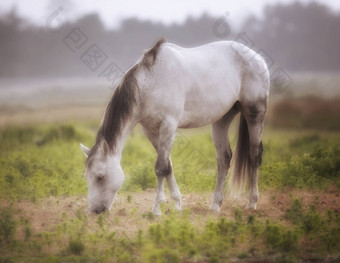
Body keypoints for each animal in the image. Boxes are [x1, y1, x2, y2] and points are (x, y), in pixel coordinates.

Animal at [79, 39, 268, 217]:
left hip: (255, 114)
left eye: (100, 177)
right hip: (221, 120)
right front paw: (177, 205)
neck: (151, 82)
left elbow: (161, 167)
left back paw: (252, 203)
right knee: (224, 159)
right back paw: (215, 205)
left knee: (254, 156)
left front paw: (156, 209)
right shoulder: (151, 131)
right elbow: (168, 166)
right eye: (86, 177)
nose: (95, 210)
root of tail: (257, 58)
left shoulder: (168, 126)